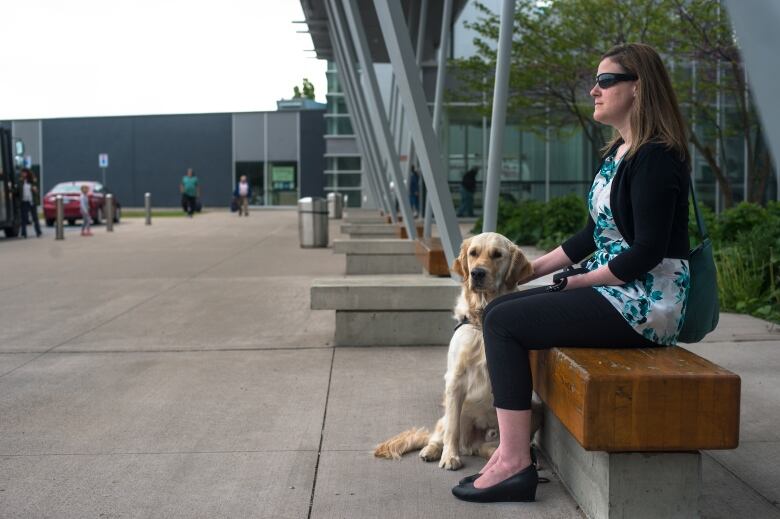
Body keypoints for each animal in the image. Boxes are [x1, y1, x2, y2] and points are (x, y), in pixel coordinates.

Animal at [376, 234, 536, 474]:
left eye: (497, 255)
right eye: (473, 253)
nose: (477, 273)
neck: (482, 316)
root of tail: (472, 444)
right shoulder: (455, 381)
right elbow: (452, 429)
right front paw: (449, 457)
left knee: (493, 445)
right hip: (452, 414)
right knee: (439, 434)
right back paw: (432, 451)